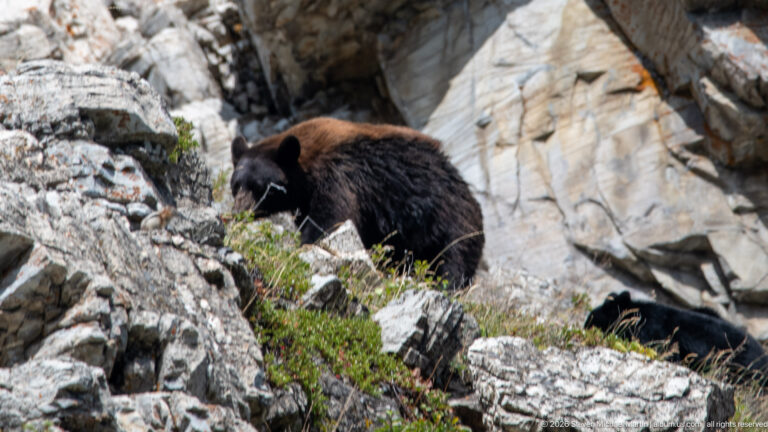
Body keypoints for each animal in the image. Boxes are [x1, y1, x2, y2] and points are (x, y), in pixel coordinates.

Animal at [229, 117, 484, 288]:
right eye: (235, 185)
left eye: (261, 187)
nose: (239, 212)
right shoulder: (306, 201)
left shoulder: (339, 178)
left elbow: (331, 220)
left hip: (450, 220)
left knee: (453, 259)